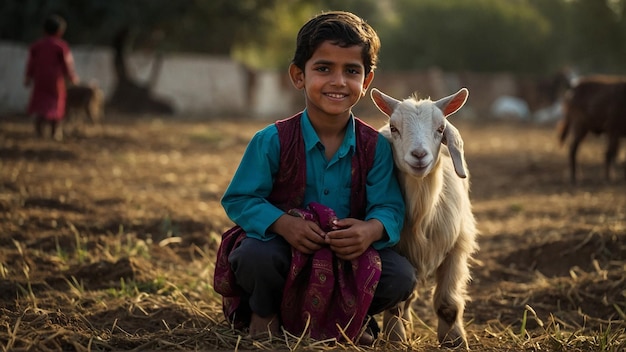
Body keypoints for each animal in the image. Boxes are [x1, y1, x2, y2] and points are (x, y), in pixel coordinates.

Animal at [370, 88, 478, 350]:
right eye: (394, 127)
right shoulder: (399, 250)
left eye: (441, 128)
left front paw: (455, 340)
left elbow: (448, 303)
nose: (419, 155)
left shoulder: (457, 246)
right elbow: (397, 302)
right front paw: (396, 338)